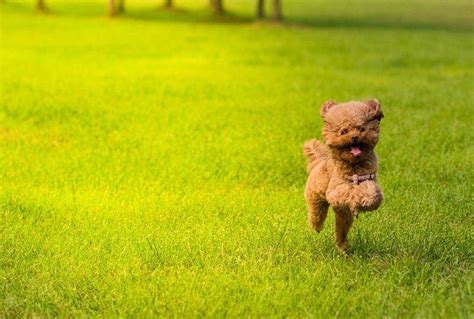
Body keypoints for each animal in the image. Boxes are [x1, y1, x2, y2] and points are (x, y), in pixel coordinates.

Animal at [304, 100, 386, 252]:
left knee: (341, 230)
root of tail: (319, 160)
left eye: (361, 129)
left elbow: (371, 191)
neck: (354, 166)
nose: (354, 137)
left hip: (344, 216)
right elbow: (348, 191)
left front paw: (365, 199)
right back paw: (316, 227)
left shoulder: (370, 180)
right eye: (343, 131)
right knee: (316, 214)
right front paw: (357, 197)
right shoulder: (335, 191)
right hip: (315, 197)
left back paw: (344, 247)